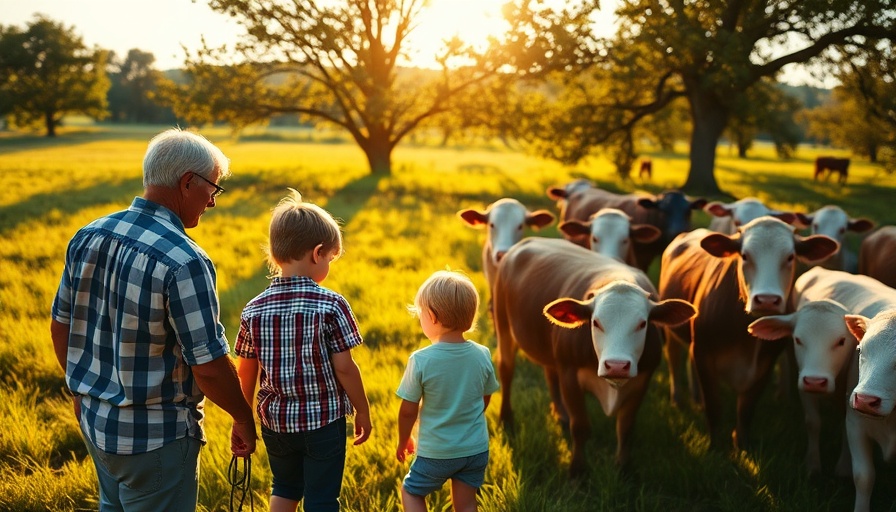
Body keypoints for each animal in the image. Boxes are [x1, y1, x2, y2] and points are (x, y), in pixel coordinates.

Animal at [494, 236, 696, 476]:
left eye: (643, 323)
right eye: (596, 322)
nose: (616, 365)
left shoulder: (643, 380)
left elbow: (625, 427)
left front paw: (623, 467)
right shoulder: (570, 375)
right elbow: (581, 427)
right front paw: (577, 471)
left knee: (550, 373)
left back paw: (560, 413)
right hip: (503, 325)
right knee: (506, 370)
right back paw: (506, 417)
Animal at [656, 216, 840, 448]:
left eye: (790, 257)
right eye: (744, 256)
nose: (767, 299)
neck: (744, 338)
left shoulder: (765, 363)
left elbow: (746, 409)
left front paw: (742, 445)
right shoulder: (704, 353)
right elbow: (713, 406)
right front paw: (715, 446)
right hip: (671, 329)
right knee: (674, 360)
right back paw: (678, 400)